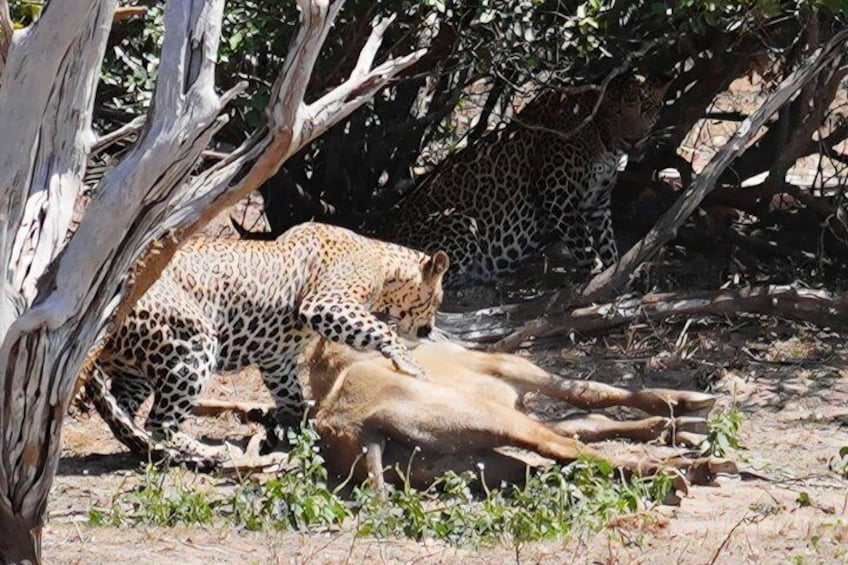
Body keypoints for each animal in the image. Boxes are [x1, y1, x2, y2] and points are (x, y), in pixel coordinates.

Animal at [82, 221, 449, 464]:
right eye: (437, 299)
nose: (428, 330)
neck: (384, 262)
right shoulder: (326, 303)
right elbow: (381, 330)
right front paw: (411, 366)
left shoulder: (277, 360)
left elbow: (292, 398)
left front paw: (302, 430)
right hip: (193, 343)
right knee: (158, 421)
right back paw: (213, 451)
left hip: (136, 369)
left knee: (124, 413)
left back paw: (153, 451)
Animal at [380, 73, 672, 288]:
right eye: (617, 111)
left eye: (646, 108)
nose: (633, 140)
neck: (603, 141)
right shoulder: (556, 194)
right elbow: (584, 245)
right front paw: (597, 276)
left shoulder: (597, 203)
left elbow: (608, 243)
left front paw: (617, 272)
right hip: (461, 220)